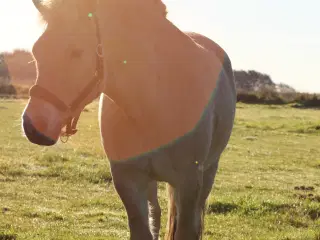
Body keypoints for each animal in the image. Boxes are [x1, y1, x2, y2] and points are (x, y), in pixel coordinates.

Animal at [22, 0, 236, 239]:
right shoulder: (128, 180)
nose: (32, 126)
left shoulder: (189, 183)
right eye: (36, 51)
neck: (156, 101)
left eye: (76, 52)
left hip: (208, 172)